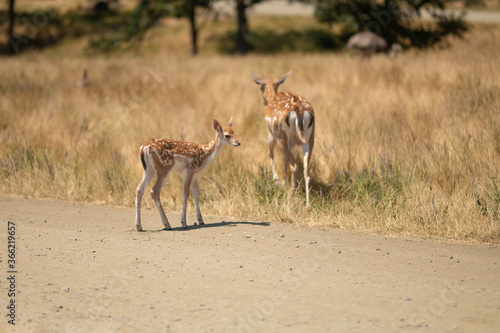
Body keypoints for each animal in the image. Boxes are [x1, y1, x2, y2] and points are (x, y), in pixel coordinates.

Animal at [250, 71, 316, 206]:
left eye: (260, 87)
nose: (264, 101)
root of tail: (299, 109)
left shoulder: (271, 133)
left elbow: (271, 153)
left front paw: (278, 180)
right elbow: (285, 159)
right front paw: (284, 182)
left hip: (281, 135)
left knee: (294, 164)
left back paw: (291, 194)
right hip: (310, 138)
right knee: (306, 167)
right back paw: (307, 204)